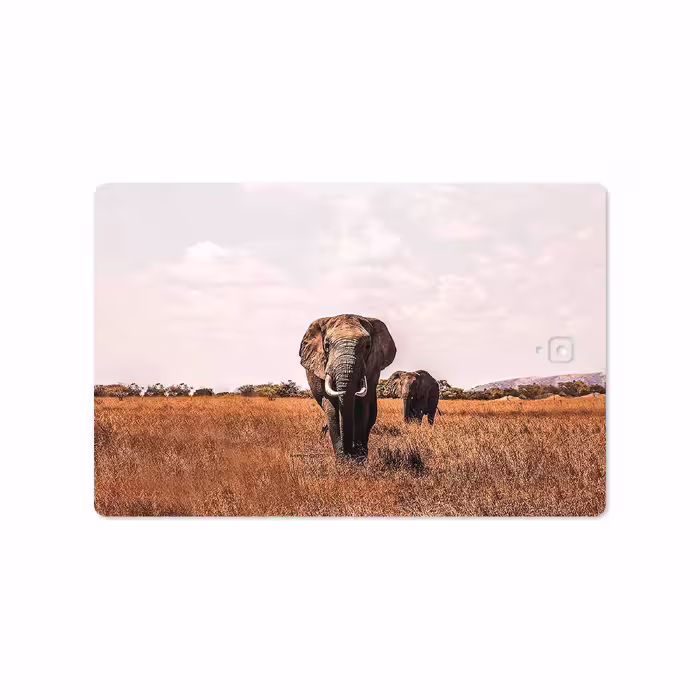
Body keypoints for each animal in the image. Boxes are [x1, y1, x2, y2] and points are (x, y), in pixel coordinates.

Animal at [300, 314, 396, 460]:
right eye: (327, 345)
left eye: (367, 346)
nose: (349, 453)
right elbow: (331, 408)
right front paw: (342, 460)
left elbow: (362, 408)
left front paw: (358, 459)